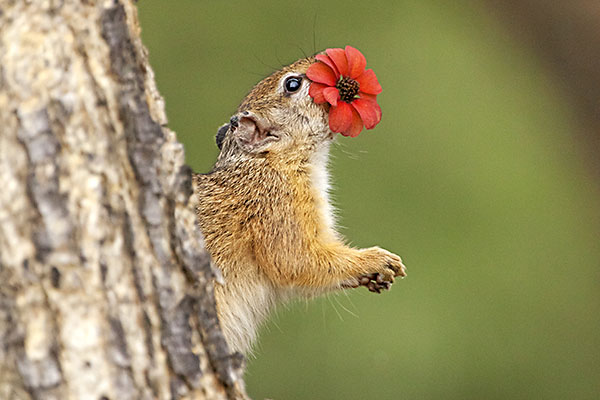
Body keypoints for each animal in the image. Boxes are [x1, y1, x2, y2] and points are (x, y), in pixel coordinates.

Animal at [195, 54, 406, 354]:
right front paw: (374, 260)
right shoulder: (276, 211)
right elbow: (298, 262)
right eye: (292, 84)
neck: (268, 163)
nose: (317, 59)